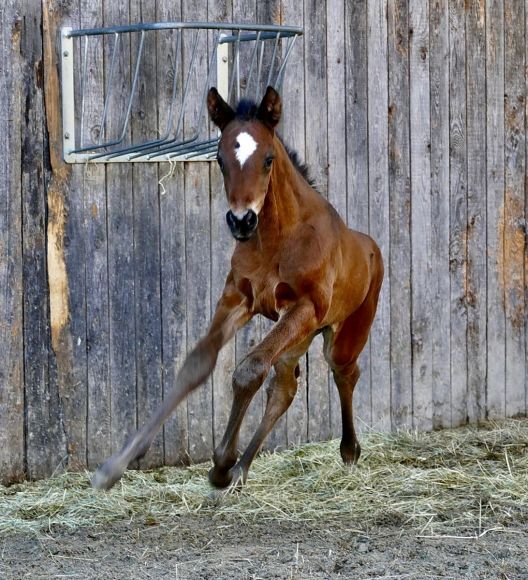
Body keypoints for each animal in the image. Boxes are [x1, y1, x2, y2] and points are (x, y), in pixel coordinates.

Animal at [94, 86, 384, 492]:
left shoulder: (304, 307)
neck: (275, 239)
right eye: (219, 160)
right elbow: (198, 364)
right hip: (300, 337)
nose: (241, 221)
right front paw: (114, 466)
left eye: (268, 159)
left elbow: (249, 369)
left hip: (340, 332)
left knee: (344, 372)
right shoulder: (238, 297)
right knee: (284, 388)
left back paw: (348, 450)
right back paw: (241, 471)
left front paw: (220, 464)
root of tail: (371, 247)